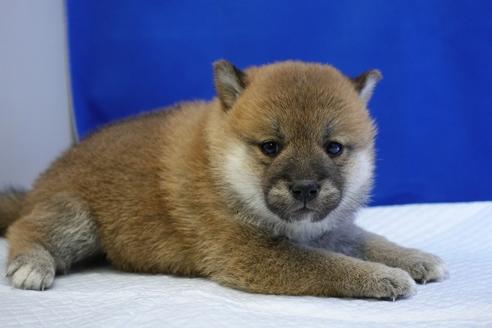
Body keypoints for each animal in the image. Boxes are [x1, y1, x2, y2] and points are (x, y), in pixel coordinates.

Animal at [0, 60, 448, 298]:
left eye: (334, 148)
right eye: (270, 147)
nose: (305, 188)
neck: (223, 171)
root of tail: (37, 188)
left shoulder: (327, 229)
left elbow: (368, 241)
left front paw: (413, 258)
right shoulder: (252, 255)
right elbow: (328, 265)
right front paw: (381, 277)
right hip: (76, 217)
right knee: (25, 229)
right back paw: (31, 264)